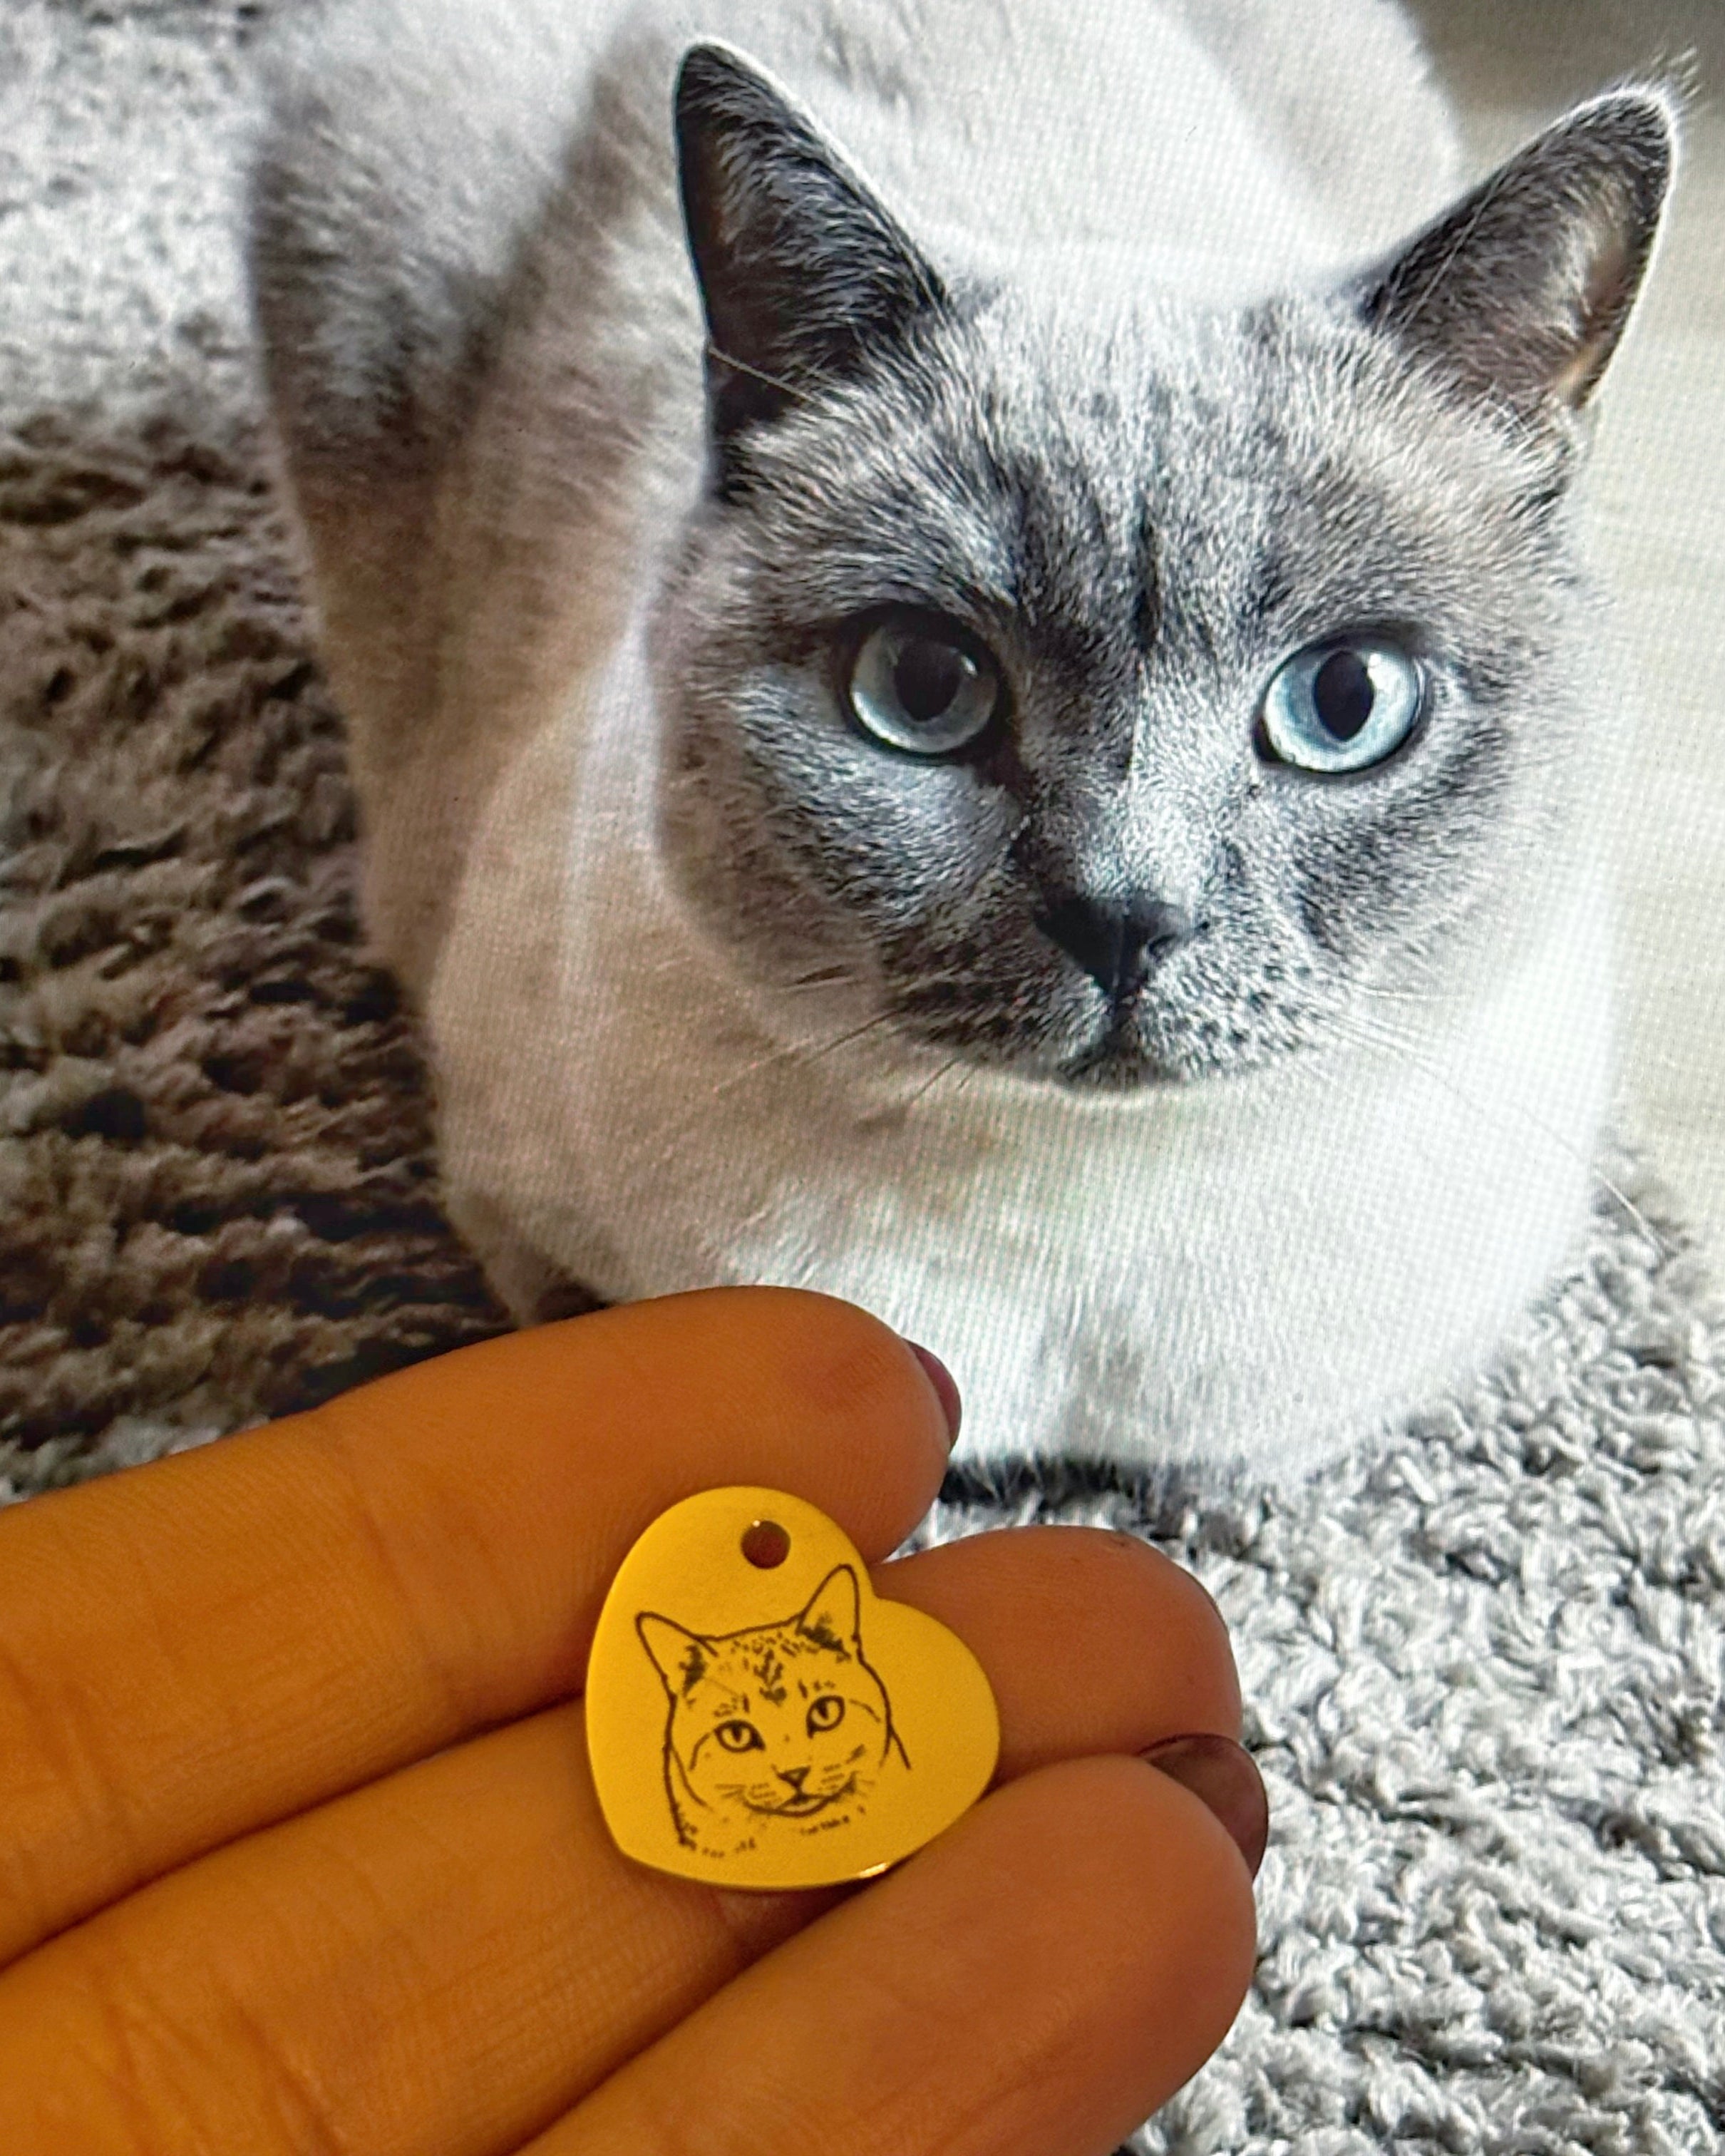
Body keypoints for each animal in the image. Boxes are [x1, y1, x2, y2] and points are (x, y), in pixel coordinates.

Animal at [248, 0, 1676, 1478]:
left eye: (1342, 704)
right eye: (926, 685)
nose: (1126, 915)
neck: (1071, 1254)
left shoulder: (1340, 1399)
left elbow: (1223, 1473)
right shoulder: (527, 1226)